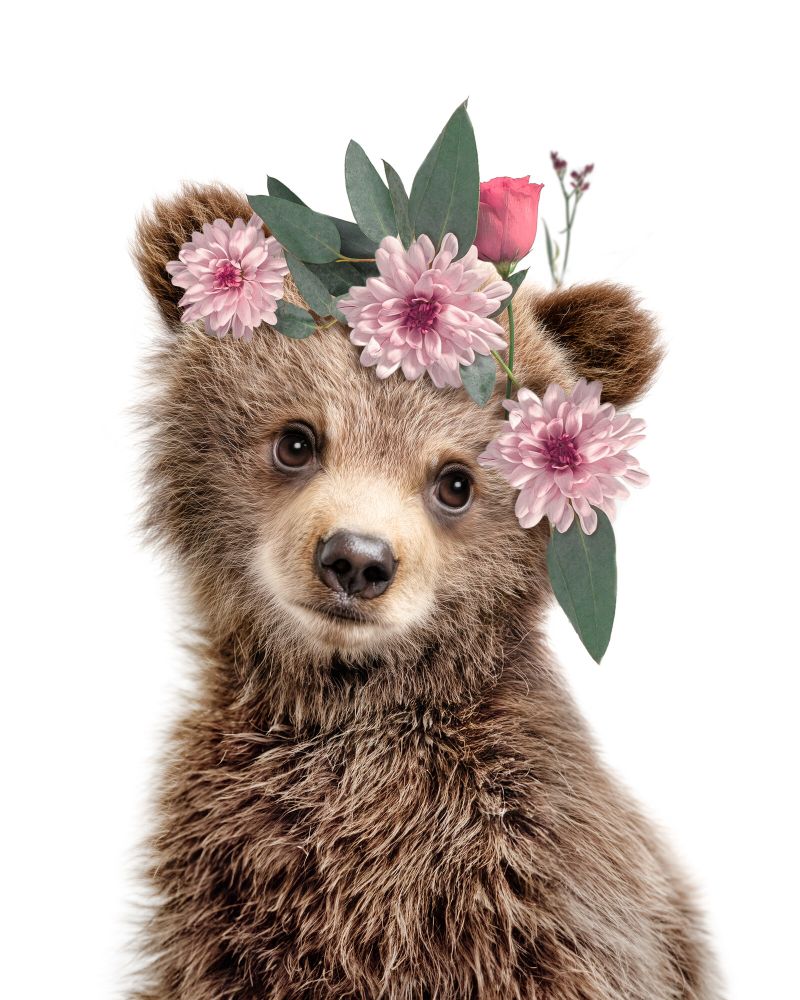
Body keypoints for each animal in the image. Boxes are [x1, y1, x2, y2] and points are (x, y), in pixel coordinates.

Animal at [130, 182, 721, 999]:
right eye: (296, 440)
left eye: (455, 482)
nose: (356, 560)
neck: (350, 712)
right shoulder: (227, 883)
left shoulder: (533, 886)